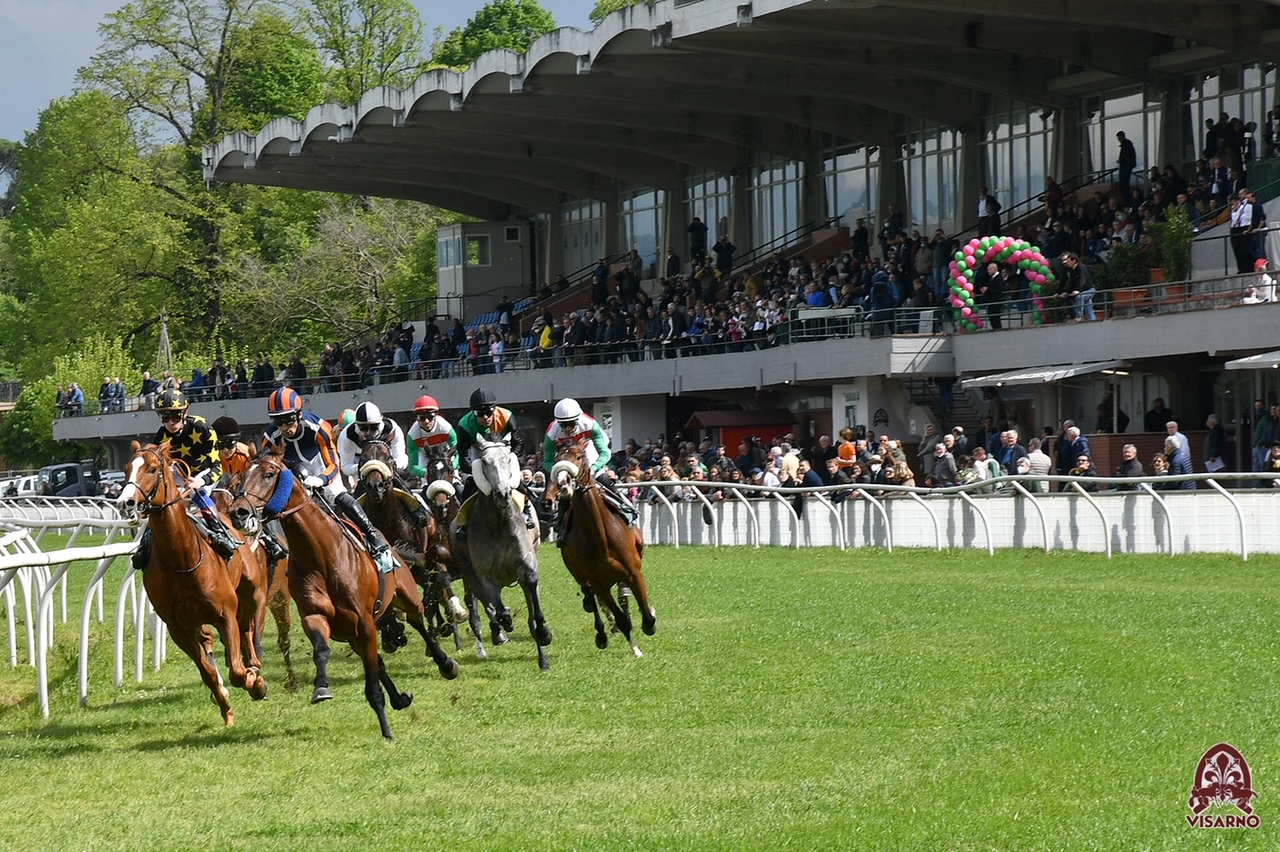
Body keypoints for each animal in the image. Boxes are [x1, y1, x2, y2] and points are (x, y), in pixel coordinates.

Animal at [119, 440, 271, 726]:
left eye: (153, 469)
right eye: (126, 469)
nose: (126, 503)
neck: (182, 559)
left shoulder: (225, 614)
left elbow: (237, 670)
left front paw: (255, 682)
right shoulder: (178, 628)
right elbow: (208, 673)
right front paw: (226, 708)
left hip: (252, 591)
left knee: (247, 627)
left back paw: (255, 666)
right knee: (212, 640)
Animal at [230, 445, 460, 736]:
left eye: (269, 474)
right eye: (241, 476)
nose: (238, 512)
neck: (321, 554)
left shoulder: (364, 621)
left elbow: (373, 683)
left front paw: (386, 731)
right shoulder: (317, 616)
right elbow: (322, 650)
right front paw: (321, 687)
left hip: (406, 596)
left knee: (420, 621)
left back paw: (446, 664)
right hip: (354, 633)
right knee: (378, 657)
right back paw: (399, 698)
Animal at [450, 437, 550, 670]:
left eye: (508, 459)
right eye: (485, 462)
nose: (503, 493)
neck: (498, 522)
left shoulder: (527, 563)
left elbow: (532, 592)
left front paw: (543, 634)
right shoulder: (485, 576)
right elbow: (496, 606)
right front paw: (506, 623)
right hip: (468, 572)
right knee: (483, 603)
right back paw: (499, 632)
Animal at [545, 440, 655, 652]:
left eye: (579, 457)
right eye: (556, 458)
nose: (563, 482)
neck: (601, 537)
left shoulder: (633, 573)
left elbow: (646, 614)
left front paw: (649, 621)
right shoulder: (597, 583)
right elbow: (620, 618)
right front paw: (635, 649)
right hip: (580, 575)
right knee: (593, 600)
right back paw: (602, 634)